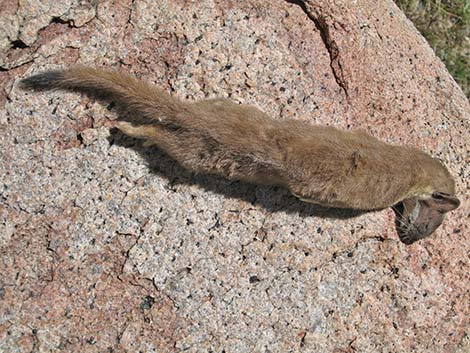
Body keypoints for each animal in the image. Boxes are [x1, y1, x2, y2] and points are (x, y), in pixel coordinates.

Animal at [20, 66, 460, 243]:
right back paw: (126, 130)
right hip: (193, 153)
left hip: (209, 124)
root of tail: (195, 114)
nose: (410, 242)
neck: (401, 162)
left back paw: (132, 131)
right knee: (161, 135)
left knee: (160, 129)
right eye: (434, 221)